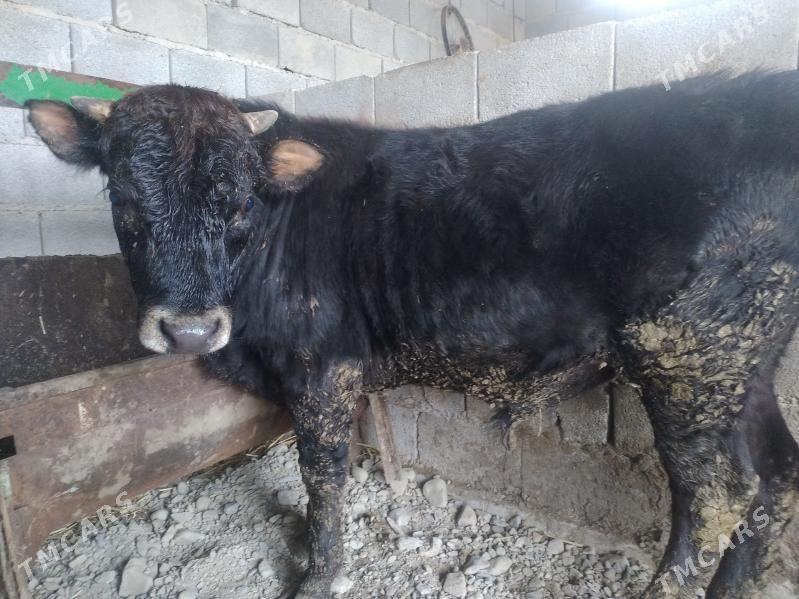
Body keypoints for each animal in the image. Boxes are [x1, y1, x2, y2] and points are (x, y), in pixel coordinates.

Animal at [27, 70, 799, 598]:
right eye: (123, 196)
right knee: (773, 474)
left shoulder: (320, 366)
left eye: (242, 200)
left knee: (718, 492)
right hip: (744, 360)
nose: (188, 329)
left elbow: (322, 474)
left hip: (687, 351)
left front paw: (319, 575)